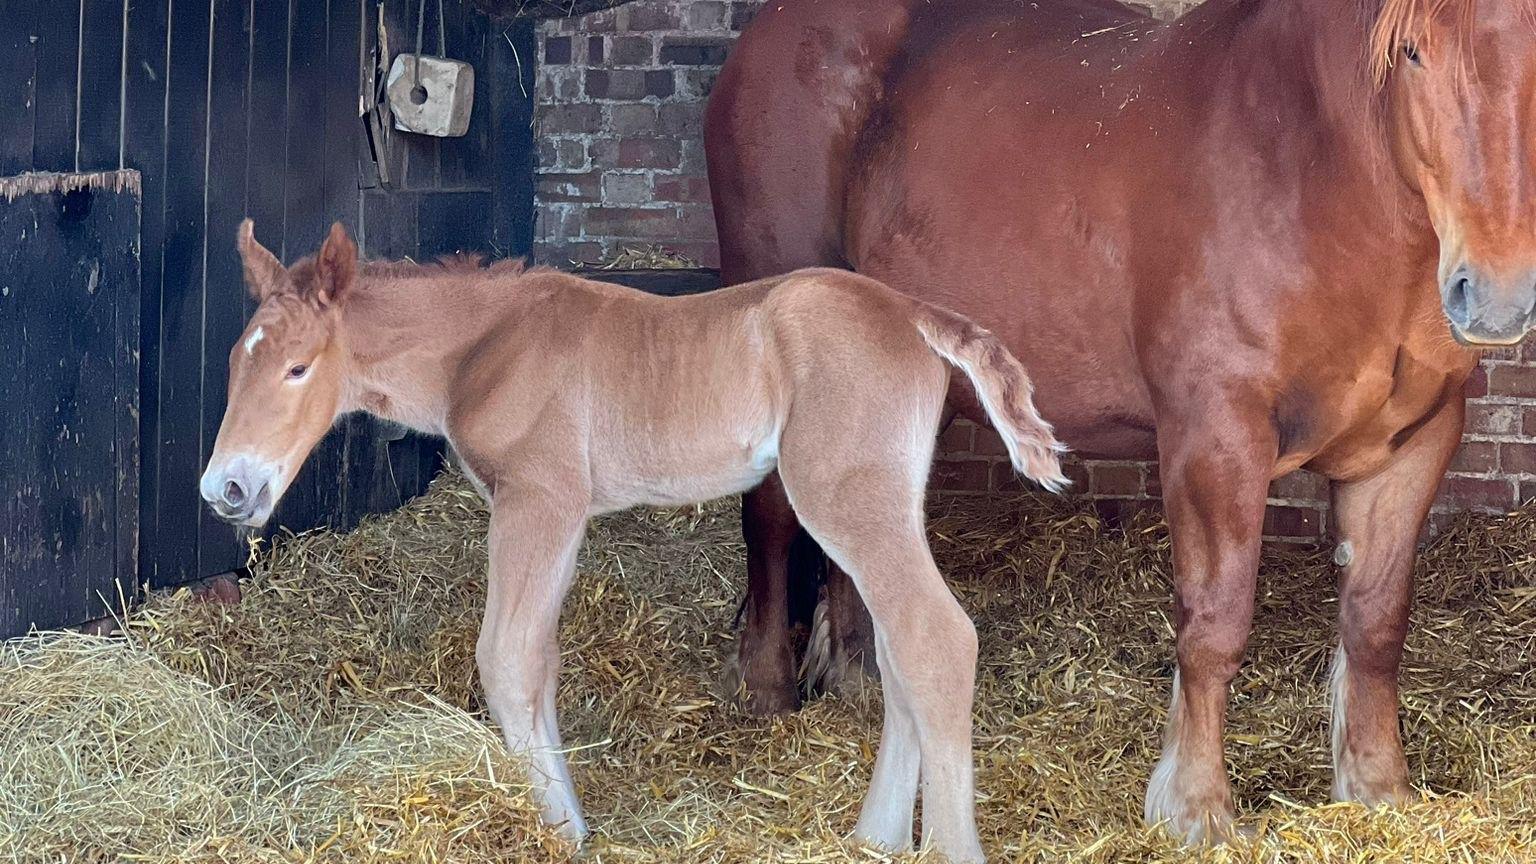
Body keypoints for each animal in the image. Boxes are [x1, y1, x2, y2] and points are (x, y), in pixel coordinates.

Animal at [201, 218, 1069, 854]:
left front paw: (559, 833)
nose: (224, 489)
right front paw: (572, 823)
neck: (487, 346)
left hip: (847, 497)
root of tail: (911, 313)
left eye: (299, 369)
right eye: (236, 365)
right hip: (886, 504)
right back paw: (876, 838)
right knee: (898, 652)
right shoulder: (562, 515)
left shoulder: (539, 500)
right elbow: (540, 661)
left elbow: (506, 659)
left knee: (936, 639)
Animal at [706, 0, 1536, 842]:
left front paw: (1377, 787)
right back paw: (768, 686)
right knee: (770, 513)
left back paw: (858, 674)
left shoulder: (1412, 446)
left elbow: (1375, 624)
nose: (1496, 295)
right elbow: (1215, 625)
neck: (1310, 172)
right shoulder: (1216, 438)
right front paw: (1195, 807)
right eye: (1413, 53)